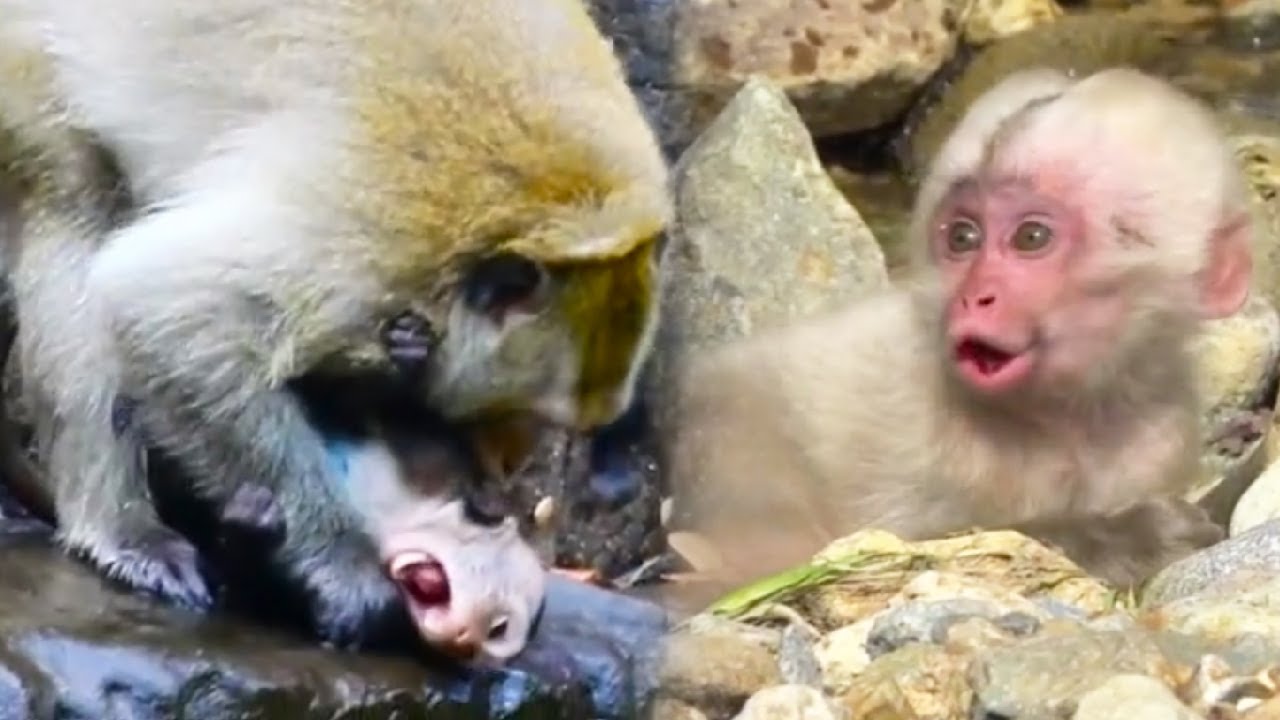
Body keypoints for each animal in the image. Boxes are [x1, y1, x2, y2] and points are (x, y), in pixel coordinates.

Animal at [0, 0, 670, 647]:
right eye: (526, 413)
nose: (502, 475)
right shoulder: (362, 247)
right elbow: (158, 305)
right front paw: (347, 570)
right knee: (76, 206)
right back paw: (121, 529)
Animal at [664, 67, 1248, 597]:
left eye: (1031, 237)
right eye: (963, 238)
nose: (973, 295)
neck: (1065, 421)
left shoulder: (1161, 432)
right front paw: (1127, 538)